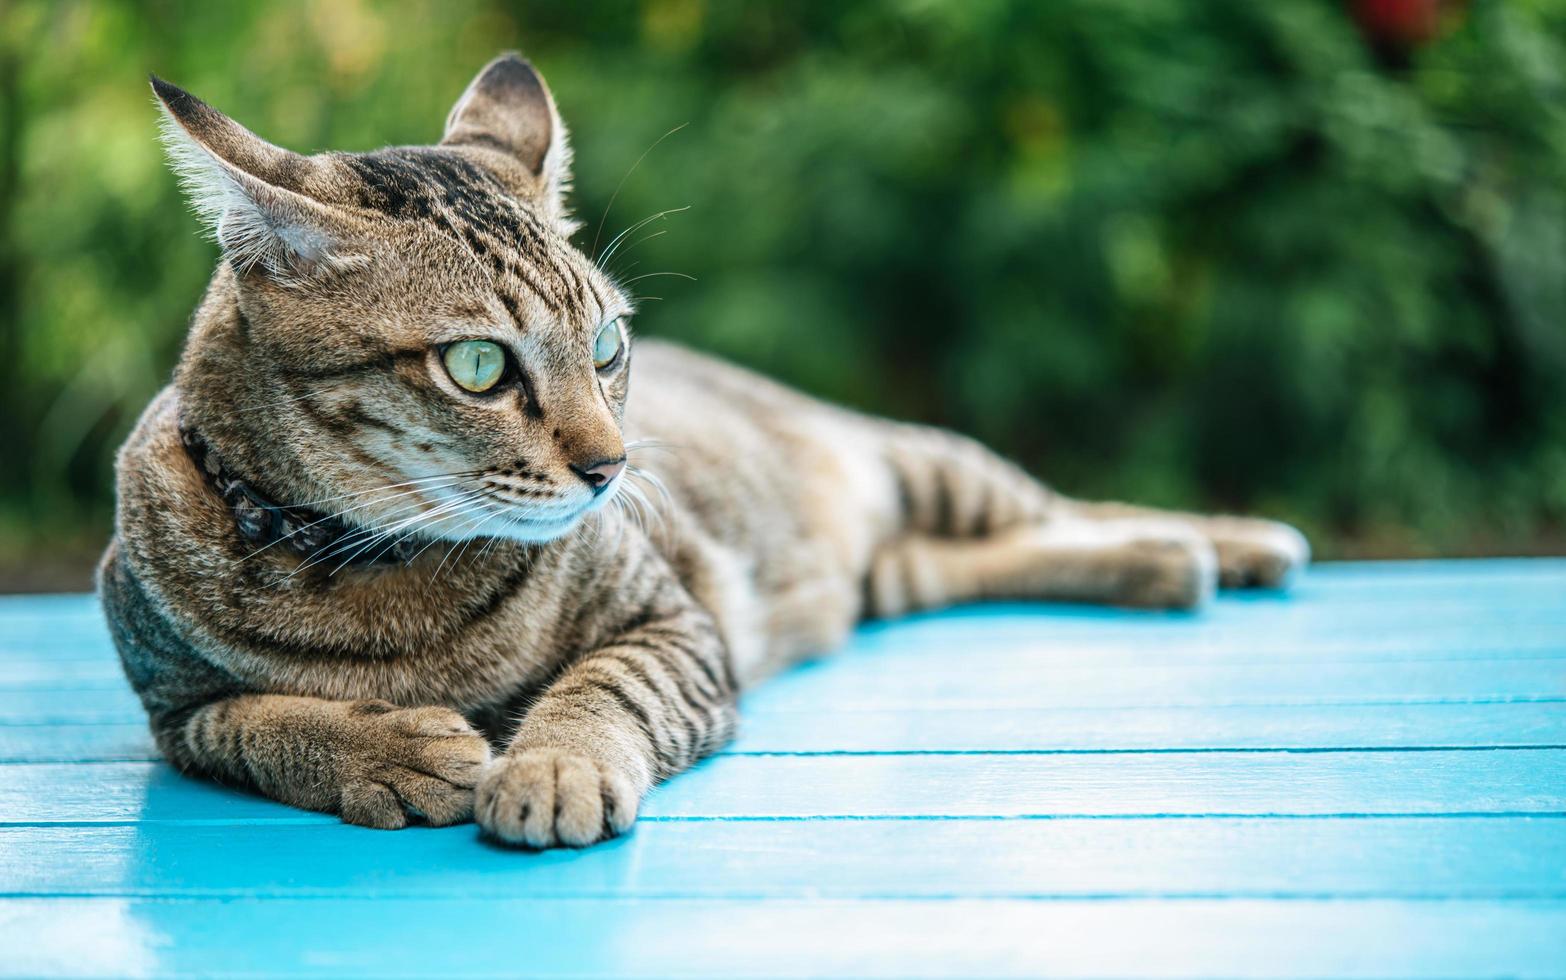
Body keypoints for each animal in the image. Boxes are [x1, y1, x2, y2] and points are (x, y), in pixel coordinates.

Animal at [101, 55, 1309, 845]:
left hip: (927, 464)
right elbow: (254, 720)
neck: (369, 573)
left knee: (1064, 504)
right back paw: (1169, 567)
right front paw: (388, 747)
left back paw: (1229, 543)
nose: (611, 467)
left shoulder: (675, 622)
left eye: (606, 345)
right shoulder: (168, 705)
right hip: (889, 569)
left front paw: (551, 763)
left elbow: (604, 687)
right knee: (973, 555)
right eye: (479, 365)